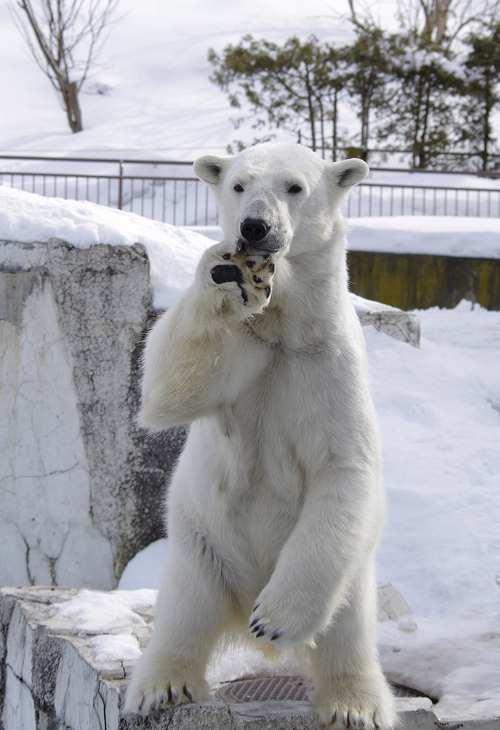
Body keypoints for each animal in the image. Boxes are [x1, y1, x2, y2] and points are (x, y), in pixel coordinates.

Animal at [126, 144, 398, 728]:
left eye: (294, 187)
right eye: (238, 184)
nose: (254, 227)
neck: (284, 329)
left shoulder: (328, 365)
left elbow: (346, 466)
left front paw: (274, 620)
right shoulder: (243, 352)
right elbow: (167, 390)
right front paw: (224, 272)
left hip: (350, 578)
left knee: (347, 630)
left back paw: (353, 703)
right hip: (203, 547)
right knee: (184, 609)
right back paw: (164, 685)